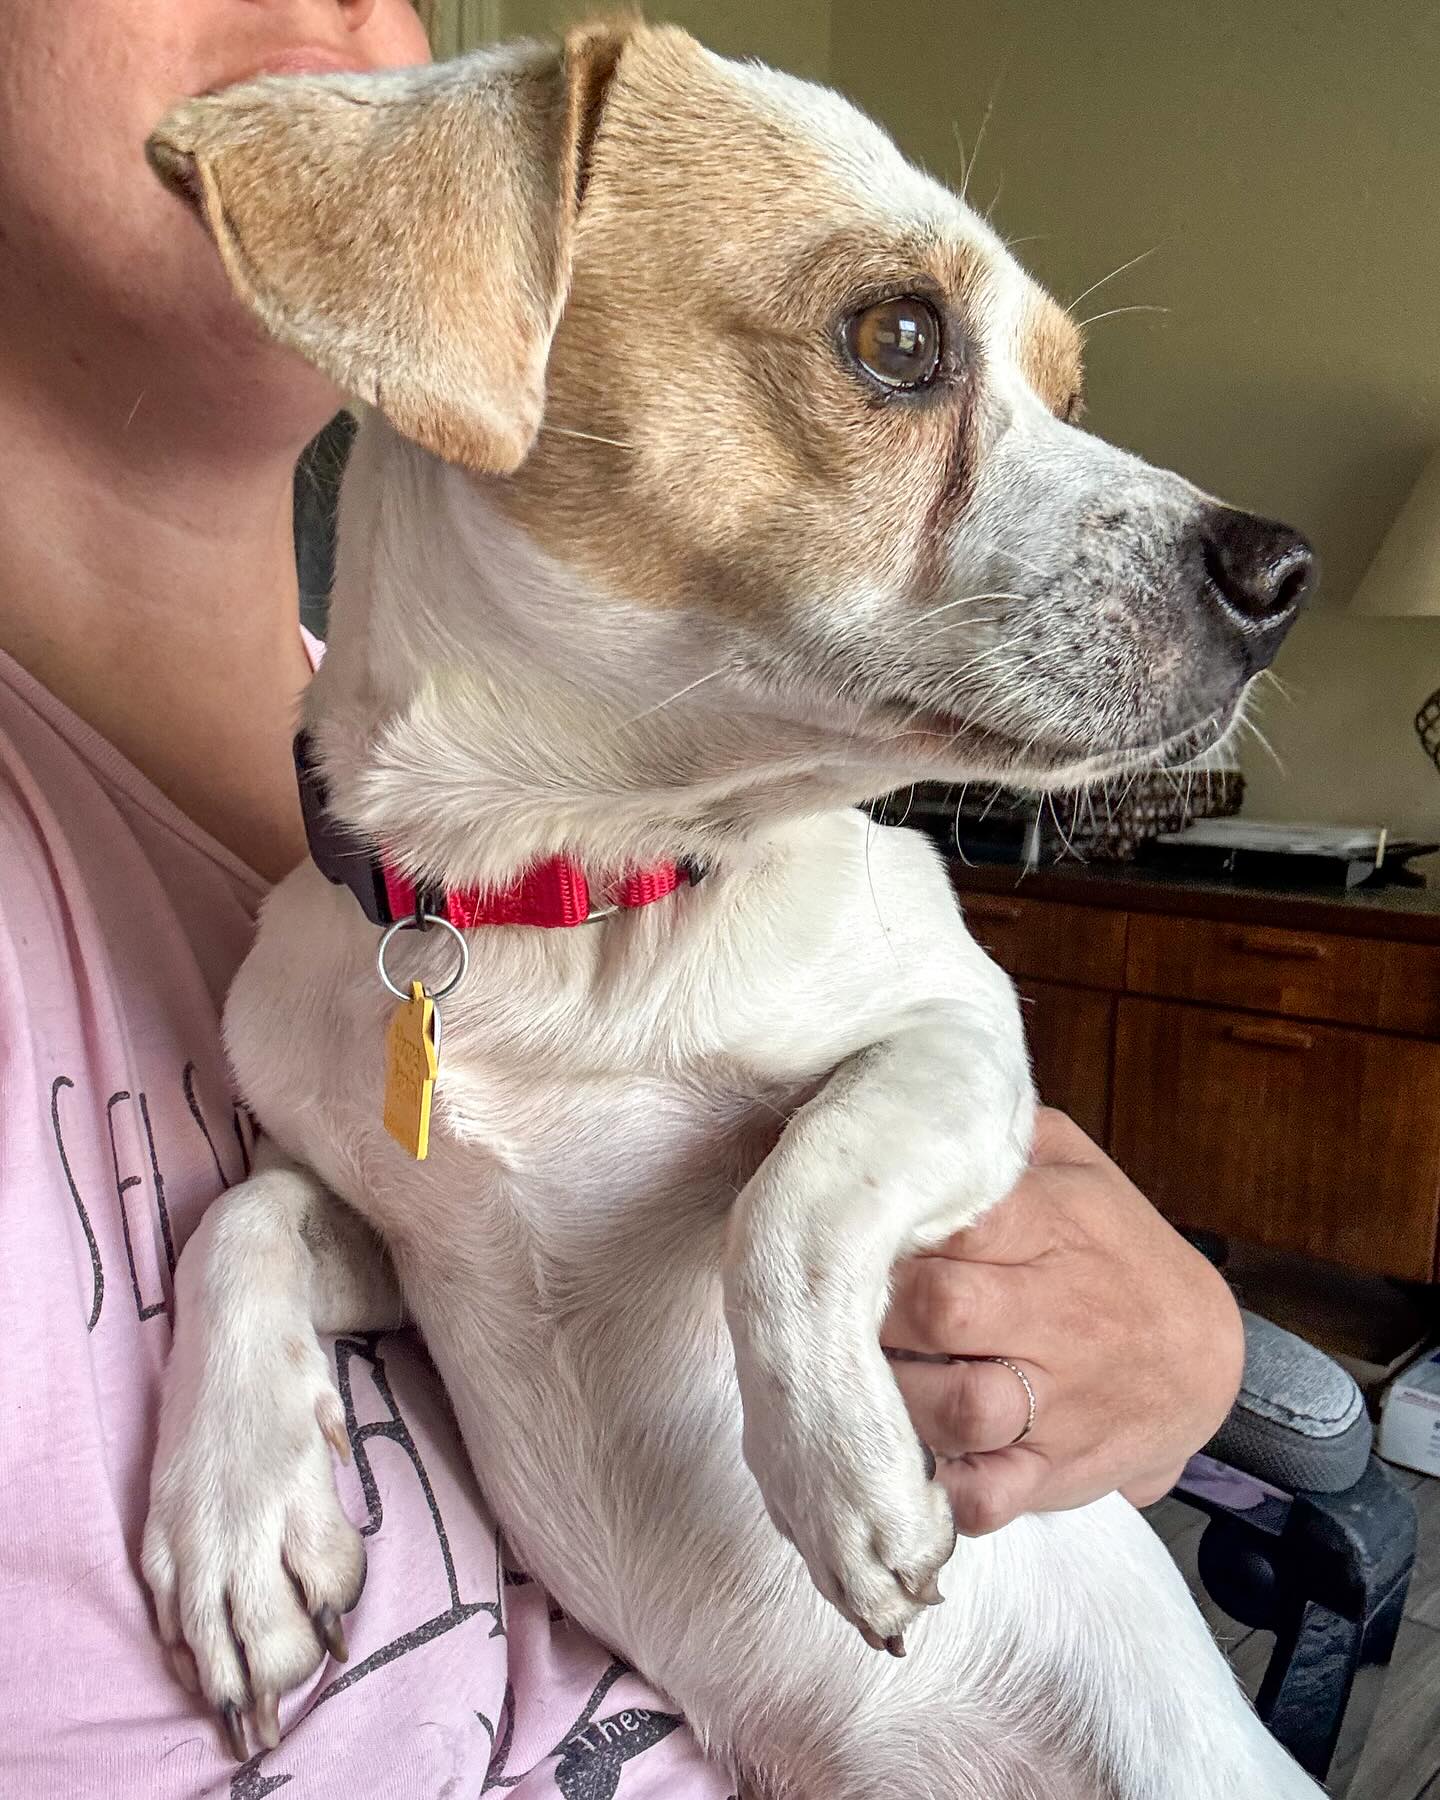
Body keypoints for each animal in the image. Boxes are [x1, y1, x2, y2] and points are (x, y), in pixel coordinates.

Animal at [140, 24, 1324, 1800]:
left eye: (1069, 396)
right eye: (899, 337)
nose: (1283, 573)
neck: (584, 896)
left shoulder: (967, 1051)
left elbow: (796, 1188)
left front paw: (842, 1478)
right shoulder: (395, 1247)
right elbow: (242, 1214)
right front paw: (232, 1522)